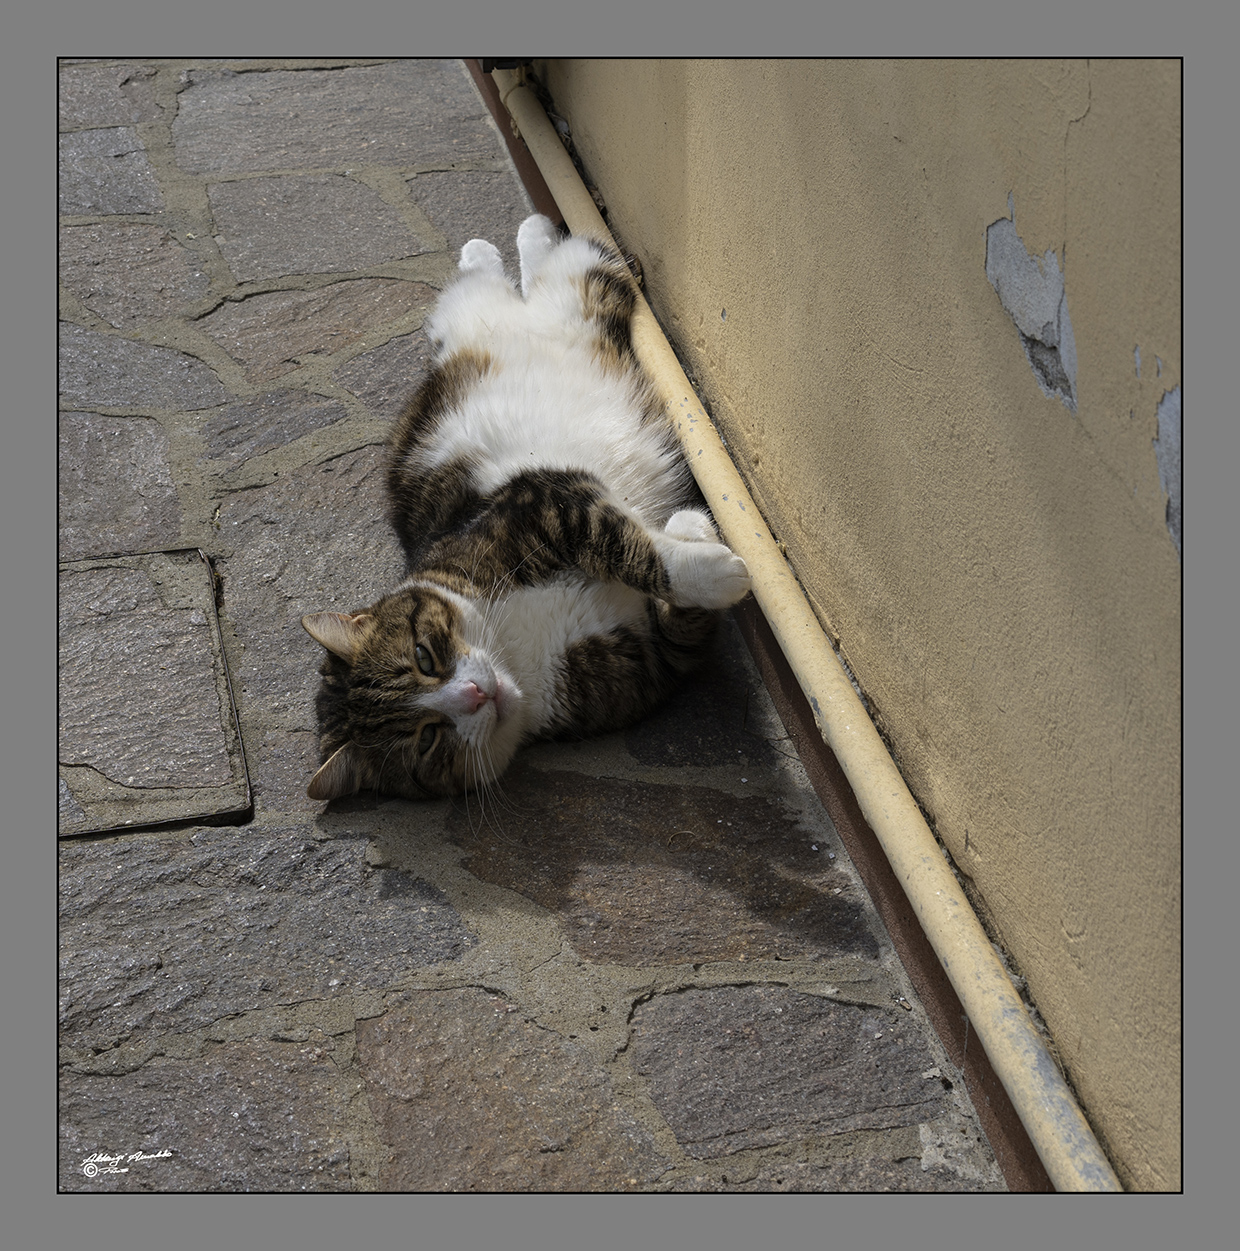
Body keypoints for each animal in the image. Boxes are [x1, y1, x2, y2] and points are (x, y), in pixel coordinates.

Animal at [301, 214, 751, 801]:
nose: (474, 694)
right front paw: (699, 537)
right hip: (559, 298)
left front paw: (705, 553)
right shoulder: (645, 661)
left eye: (424, 657)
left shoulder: (544, 500)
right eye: (426, 739)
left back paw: (519, 238)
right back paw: (517, 245)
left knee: (534, 272)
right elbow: (677, 620)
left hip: (559, 298)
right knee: (519, 280)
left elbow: (623, 544)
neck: (510, 645)